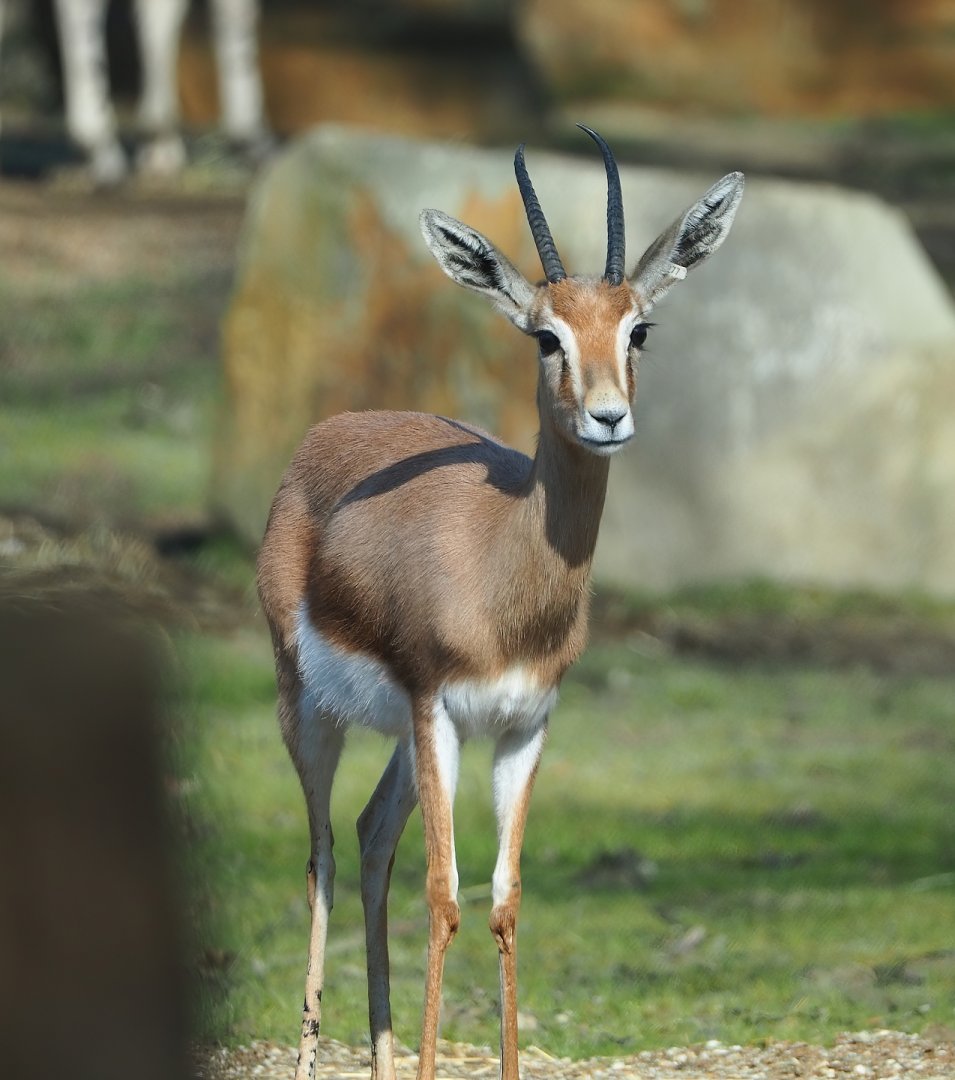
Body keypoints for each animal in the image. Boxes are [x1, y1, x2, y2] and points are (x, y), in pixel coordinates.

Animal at [257, 126, 744, 1080]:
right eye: (544, 336)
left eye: (638, 327)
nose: (607, 418)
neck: (503, 567)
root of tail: (326, 433)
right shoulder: (436, 708)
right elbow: (444, 896)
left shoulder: (524, 724)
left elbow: (504, 899)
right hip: (313, 709)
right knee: (323, 855)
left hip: (403, 741)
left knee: (370, 836)